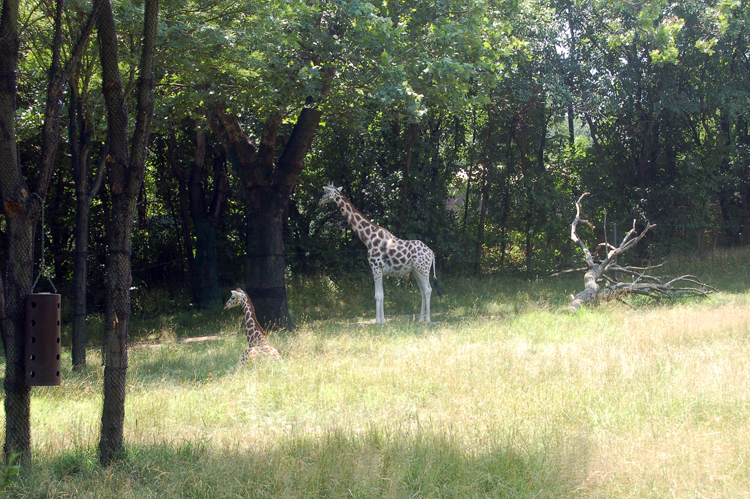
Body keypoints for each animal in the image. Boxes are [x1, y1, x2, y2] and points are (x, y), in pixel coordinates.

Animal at [320, 184, 444, 324]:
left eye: (325, 193)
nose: (319, 202)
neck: (368, 238)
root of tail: (432, 253)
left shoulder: (376, 267)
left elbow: (377, 295)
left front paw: (378, 322)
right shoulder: (379, 270)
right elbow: (382, 295)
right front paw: (383, 321)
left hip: (423, 269)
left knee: (428, 290)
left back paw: (428, 321)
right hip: (416, 271)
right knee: (423, 291)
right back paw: (420, 320)